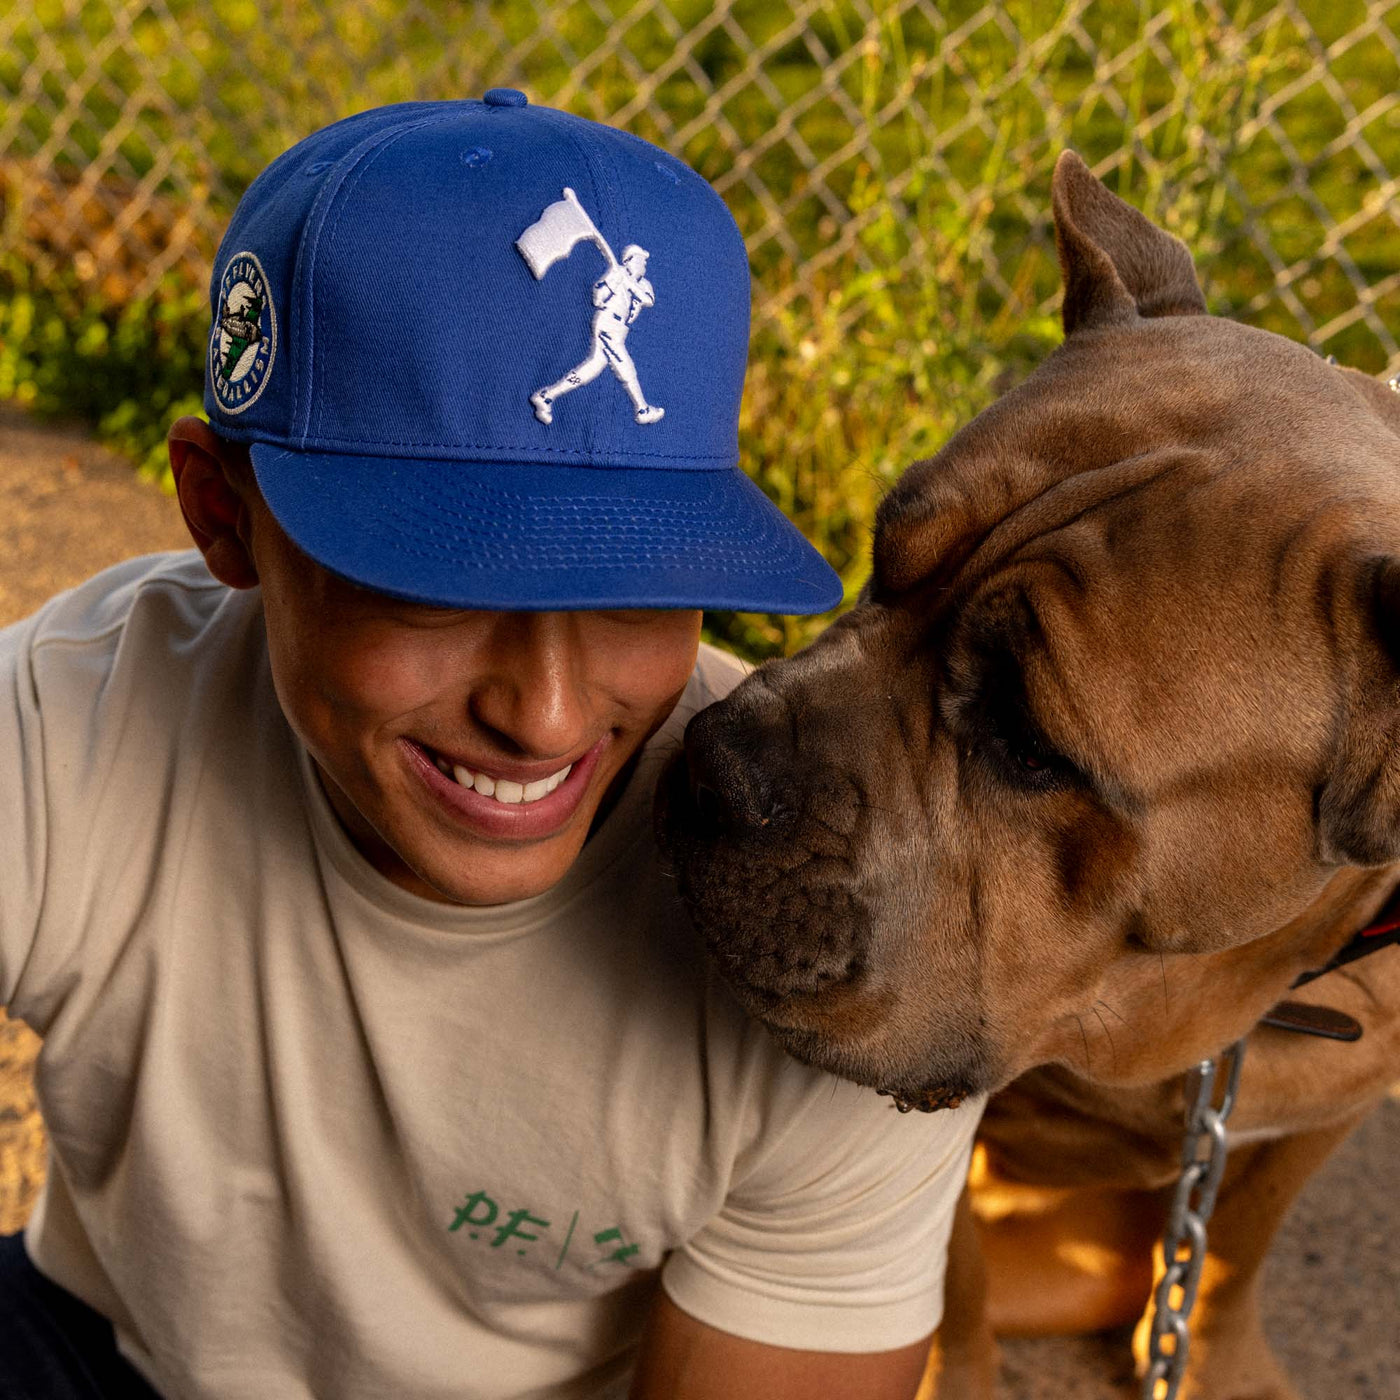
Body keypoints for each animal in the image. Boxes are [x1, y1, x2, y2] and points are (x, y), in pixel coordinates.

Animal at [660, 156, 1400, 1400]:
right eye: (879, 559)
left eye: (1029, 741)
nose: (708, 766)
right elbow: (947, 1270)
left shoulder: (1316, 1114)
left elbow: (1236, 1242)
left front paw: (1219, 1360)